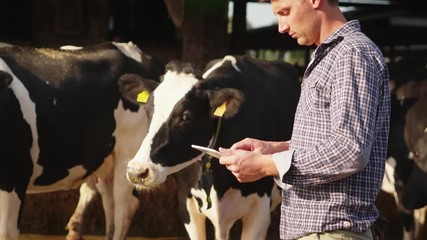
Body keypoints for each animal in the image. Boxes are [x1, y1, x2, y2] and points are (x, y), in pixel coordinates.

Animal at [0, 41, 160, 240]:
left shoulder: (15, 177)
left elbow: (6, 232)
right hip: (105, 160)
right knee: (110, 204)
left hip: (129, 154)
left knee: (124, 207)